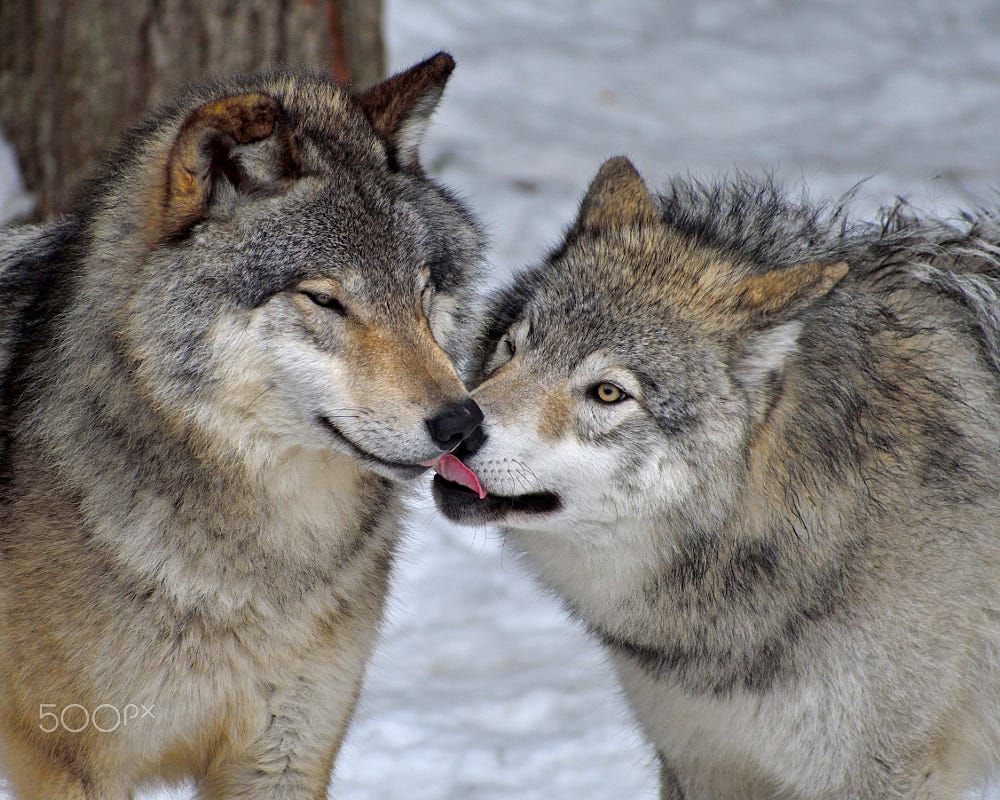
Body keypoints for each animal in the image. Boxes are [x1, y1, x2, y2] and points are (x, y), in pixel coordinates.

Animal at [0, 53, 484, 796]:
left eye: (423, 290)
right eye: (324, 299)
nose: (463, 423)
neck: (255, 578)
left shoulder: (282, 754)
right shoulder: (67, 763)